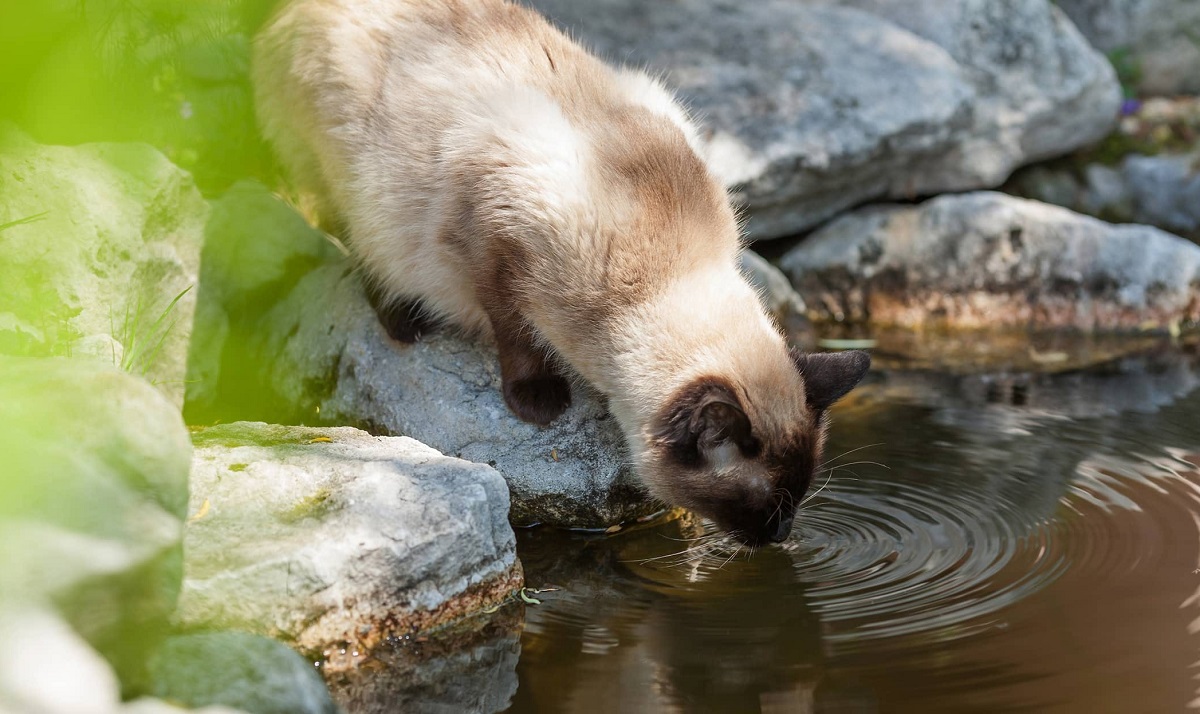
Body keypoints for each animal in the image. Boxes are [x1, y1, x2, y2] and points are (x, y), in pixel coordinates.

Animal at [255, 0, 873, 547]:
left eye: (798, 497)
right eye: (760, 504)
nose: (782, 536)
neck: (668, 268)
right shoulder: (494, 239)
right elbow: (515, 330)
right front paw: (539, 402)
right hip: (350, 182)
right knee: (354, 239)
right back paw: (403, 320)